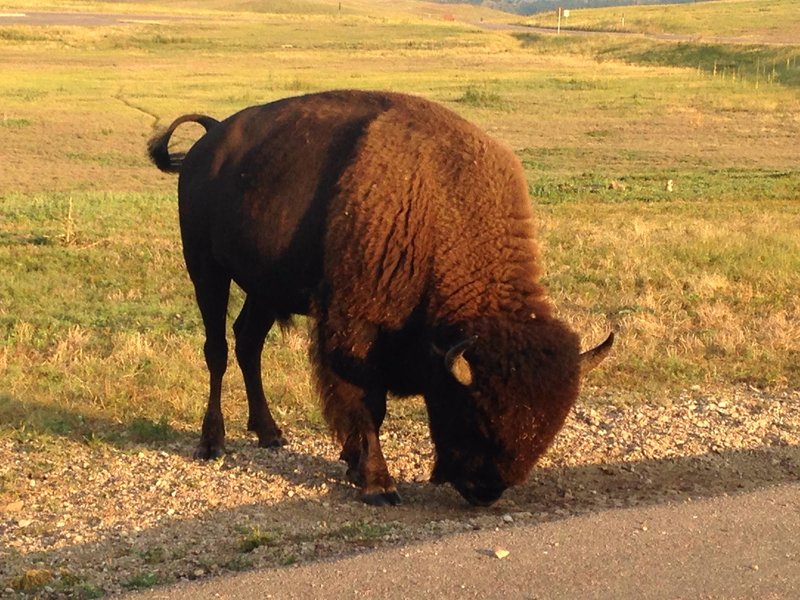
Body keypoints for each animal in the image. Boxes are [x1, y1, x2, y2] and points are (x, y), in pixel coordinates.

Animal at [148, 90, 612, 506]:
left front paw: (354, 465)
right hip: (206, 269)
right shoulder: (354, 330)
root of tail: (209, 140)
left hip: (263, 286)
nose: (484, 491)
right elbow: (368, 404)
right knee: (218, 349)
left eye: (547, 430)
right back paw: (212, 442)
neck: (438, 210)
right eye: (477, 415)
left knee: (248, 343)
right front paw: (377, 484)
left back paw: (270, 433)